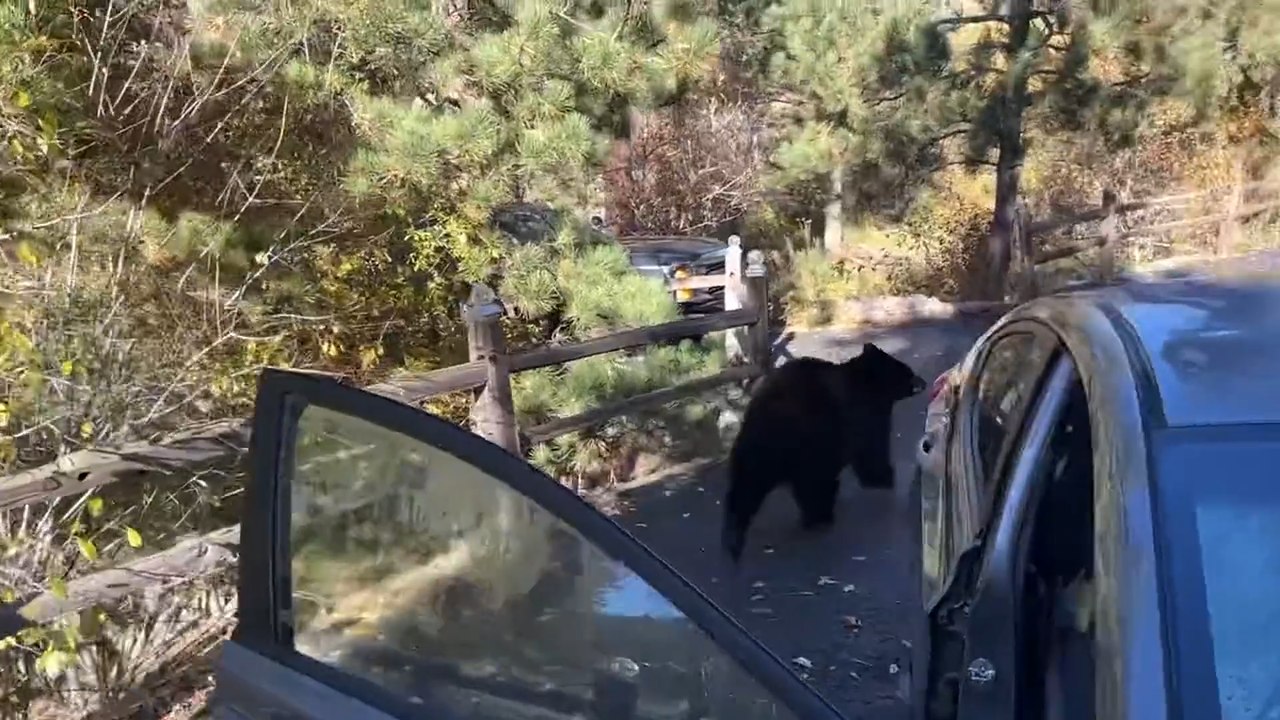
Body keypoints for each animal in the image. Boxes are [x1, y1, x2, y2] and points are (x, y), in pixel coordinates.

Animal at [721, 342, 926, 563]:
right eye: (908, 371)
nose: (923, 382)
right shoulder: (863, 415)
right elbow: (872, 448)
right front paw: (884, 477)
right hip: (811, 441)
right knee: (813, 481)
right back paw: (820, 516)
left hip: (755, 451)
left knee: (746, 487)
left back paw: (733, 537)